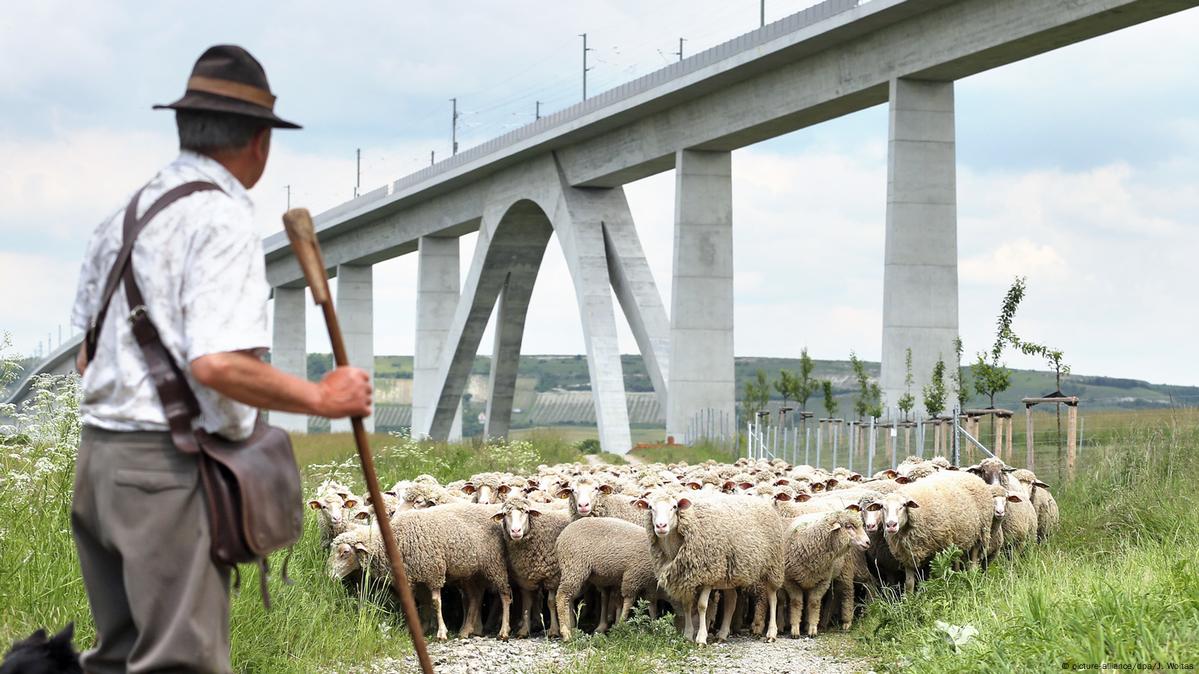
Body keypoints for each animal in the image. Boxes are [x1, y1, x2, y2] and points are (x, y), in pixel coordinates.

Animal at [491, 494, 575, 633]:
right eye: (504, 514)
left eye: (526, 511)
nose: (516, 531)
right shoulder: (525, 578)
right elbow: (526, 604)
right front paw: (524, 630)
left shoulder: (552, 576)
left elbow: (551, 602)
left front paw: (553, 630)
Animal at [637, 486, 786, 647]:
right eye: (650, 507)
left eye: (674, 507)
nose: (661, 526)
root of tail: (765, 503)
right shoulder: (686, 578)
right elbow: (687, 606)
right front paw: (687, 636)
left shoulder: (708, 574)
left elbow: (702, 606)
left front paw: (701, 638)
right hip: (729, 573)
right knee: (731, 600)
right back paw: (722, 634)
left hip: (773, 566)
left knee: (772, 598)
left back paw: (771, 633)